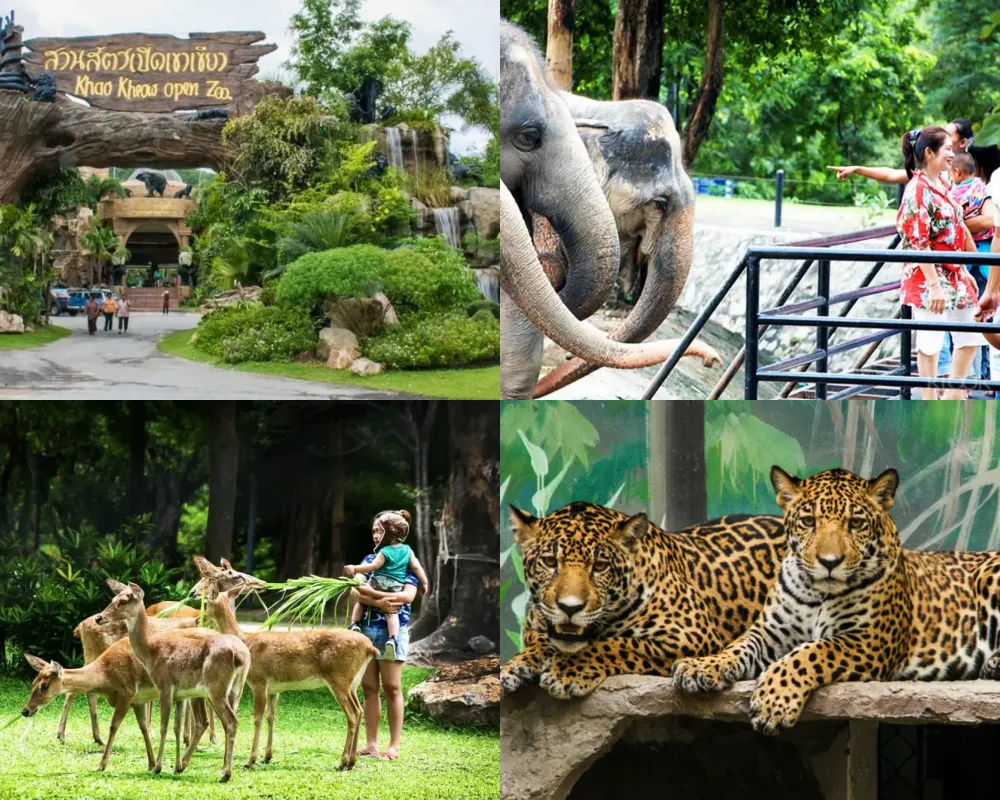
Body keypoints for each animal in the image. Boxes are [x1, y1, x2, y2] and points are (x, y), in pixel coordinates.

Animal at [98, 580, 250, 784]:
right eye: (113, 598)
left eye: (122, 601)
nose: (99, 618)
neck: (150, 651)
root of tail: (240, 656)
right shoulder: (180, 695)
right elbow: (176, 727)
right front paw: (175, 766)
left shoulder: (164, 686)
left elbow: (164, 726)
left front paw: (157, 767)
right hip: (235, 690)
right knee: (224, 721)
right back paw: (215, 768)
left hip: (216, 688)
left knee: (231, 721)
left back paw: (225, 773)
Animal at [197, 560, 376, 772]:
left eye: (205, 603)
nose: (197, 619)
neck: (246, 640)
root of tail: (370, 647)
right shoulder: (274, 688)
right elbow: (271, 717)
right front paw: (267, 756)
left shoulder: (259, 681)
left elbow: (257, 718)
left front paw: (251, 760)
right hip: (353, 682)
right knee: (360, 711)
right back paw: (351, 761)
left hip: (339, 678)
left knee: (353, 714)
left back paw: (342, 762)